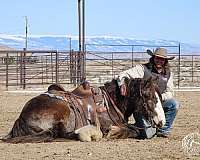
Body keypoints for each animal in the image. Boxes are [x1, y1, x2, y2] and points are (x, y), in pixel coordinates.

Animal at [1, 77, 164, 142]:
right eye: (150, 96)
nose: (162, 121)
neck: (111, 103)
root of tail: (21, 117)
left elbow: (135, 129)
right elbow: (134, 131)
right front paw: (113, 132)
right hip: (62, 111)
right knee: (60, 134)